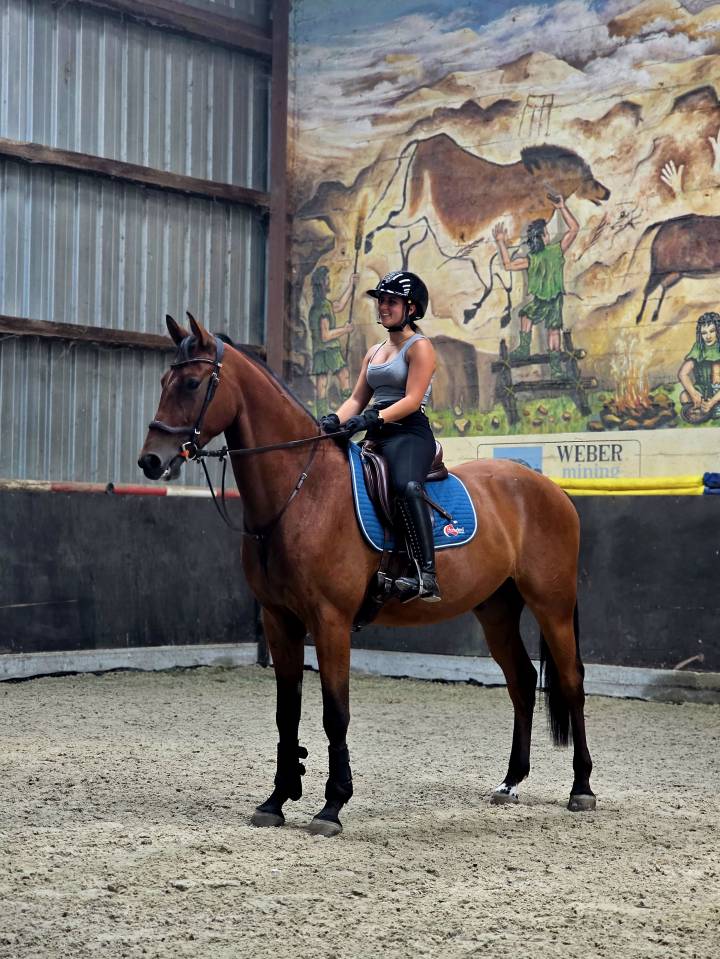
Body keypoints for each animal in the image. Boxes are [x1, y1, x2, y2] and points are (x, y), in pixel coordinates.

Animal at [138, 313, 595, 836]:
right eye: (164, 382)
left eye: (192, 383)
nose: (150, 460)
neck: (302, 492)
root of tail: (549, 488)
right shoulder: (279, 620)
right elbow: (286, 713)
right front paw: (277, 800)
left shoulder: (330, 621)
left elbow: (335, 714)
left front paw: (331, 806)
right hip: (496, 608)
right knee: (521, 680)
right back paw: (510, 782)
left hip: (551, 605)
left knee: (571, 680)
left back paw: (582, 788)